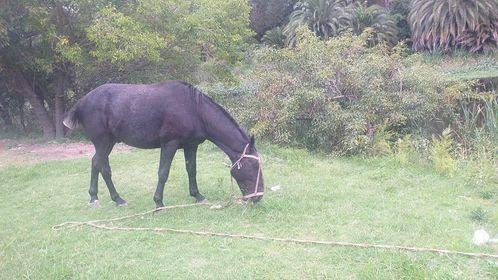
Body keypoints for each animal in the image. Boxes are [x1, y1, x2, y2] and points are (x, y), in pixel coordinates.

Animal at [63, 79, 264, 208]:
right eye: (253, 167)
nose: (258, 196)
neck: (193, 109)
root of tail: (83, 101)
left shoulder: (191, 146)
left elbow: (192, 170)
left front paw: (197, 196)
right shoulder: (169, 144)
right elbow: (163, 173)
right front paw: (158, 202)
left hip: (107, 143)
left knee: (96, 163)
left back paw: (96, 197)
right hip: (103, 142)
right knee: (102, 167)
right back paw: (116, 199)